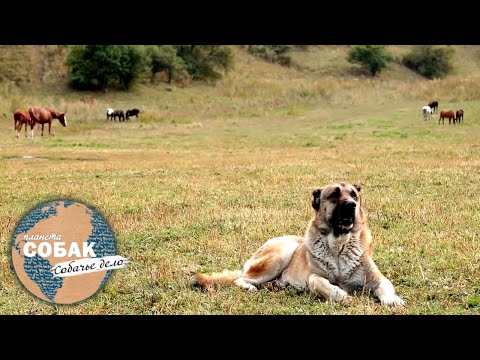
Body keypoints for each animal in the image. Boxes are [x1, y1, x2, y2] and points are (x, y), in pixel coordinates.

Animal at [193, 181, 404, 308]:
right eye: (334, 195)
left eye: (354, 195)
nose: (351, 205)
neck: (338, 246)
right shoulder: (313, 278)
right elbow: (318, 281)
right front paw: (340, 294)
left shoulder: (378, 279)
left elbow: (385, 287)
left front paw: (392, 300)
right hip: (282, 253)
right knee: (240, 279)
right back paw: (251, 287)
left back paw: (276, 286)